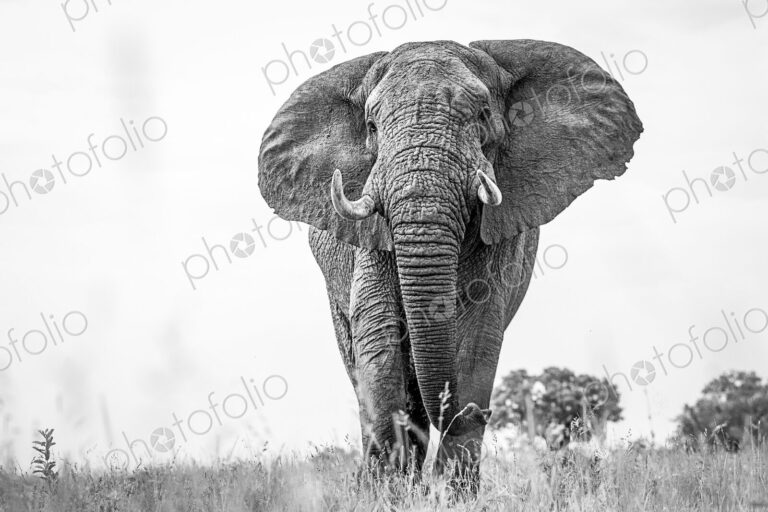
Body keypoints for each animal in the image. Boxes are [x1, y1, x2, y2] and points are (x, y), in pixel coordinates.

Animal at [258, 40, 642, 485]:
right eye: (371, 126)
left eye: (483, 115)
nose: (479, 411)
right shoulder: (371, 236)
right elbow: (378, 334)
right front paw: (387, 487)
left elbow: (479, 333)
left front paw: (450, 488)